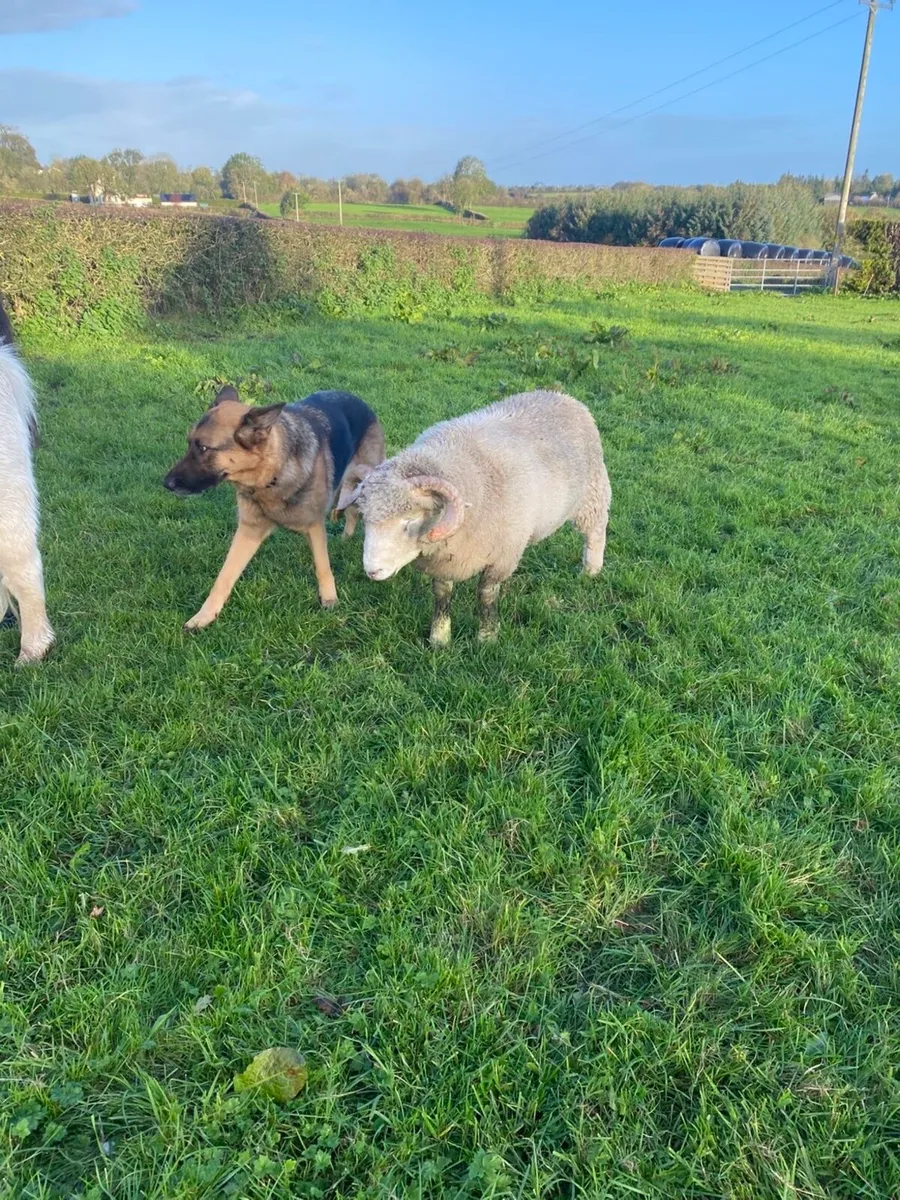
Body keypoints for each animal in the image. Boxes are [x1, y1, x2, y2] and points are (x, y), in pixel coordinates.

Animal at [337, 389, 611, 644]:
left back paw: (591, 570)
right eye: (365, 519)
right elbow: (441, 595)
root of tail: (563, 396)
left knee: (595, 533)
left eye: (410, 521)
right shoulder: (445, 559)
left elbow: (486, 595)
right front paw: (439, 639)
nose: (372, 571)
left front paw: (487, 637)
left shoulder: (501, 557)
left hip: (593, 494)